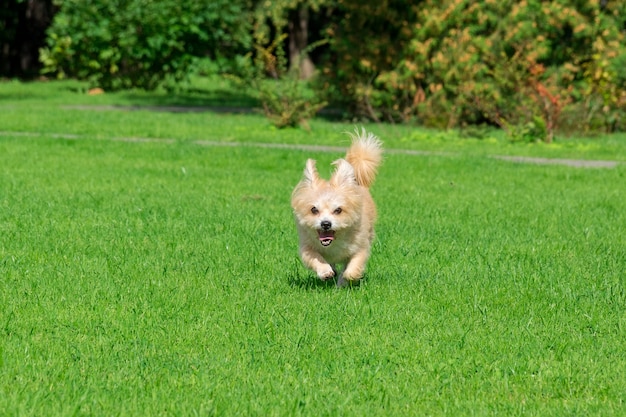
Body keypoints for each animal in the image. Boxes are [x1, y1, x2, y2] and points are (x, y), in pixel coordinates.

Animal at [292, 127, 380, 286]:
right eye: (314, 209)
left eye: (338, 210)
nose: (325, 224)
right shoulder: (306, 247)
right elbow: (314, 257)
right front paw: (325, 271)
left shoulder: (360, 246)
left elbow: (353, 266)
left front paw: (346, 279)